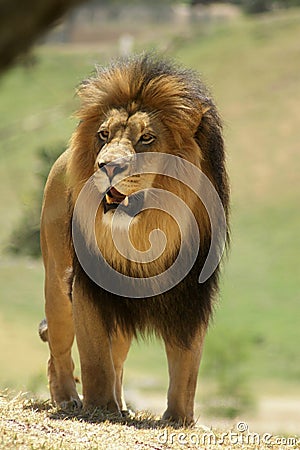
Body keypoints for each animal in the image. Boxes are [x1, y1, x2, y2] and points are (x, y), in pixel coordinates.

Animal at [38, 53, 229, 426]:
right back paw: (67, 398)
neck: (146, 228)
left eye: (147, 138)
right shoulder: (90, 288)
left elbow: (187, 366)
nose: (105, 166)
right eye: (103, 134)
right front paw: (101, 409)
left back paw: (122, 404)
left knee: (119, 359)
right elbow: (95, 359)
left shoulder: (192, 293)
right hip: (57, 285)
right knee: (60, 349)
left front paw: (179, 419)